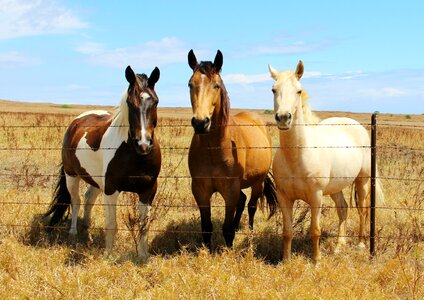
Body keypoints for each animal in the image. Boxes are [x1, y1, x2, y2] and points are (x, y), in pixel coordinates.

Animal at [44, 65, 161, 260]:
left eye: (155, 102)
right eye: (130, 103)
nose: (143, 144)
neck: (134, 155)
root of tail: (76, 122)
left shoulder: (148, 190)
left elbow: (144, 226)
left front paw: (143, 256)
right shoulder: (111, 189)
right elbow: (112, 225)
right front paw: (108, 255)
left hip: (96, 181)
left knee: (88, 199)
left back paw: (87, 234)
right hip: (72, 176)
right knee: (76, 201)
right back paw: (73, 234)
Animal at [187, 50, 276, 250]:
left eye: (216, 86)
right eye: (190, 84)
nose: (200, 122)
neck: (214, 149)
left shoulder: (230, 189)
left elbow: (226, 228)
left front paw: (228, 249)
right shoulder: (200, 190)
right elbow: (206, 227)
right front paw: (207, 250)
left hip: (258, 182)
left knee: (251, 206)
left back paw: (249, 233)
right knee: (242, 201)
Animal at [270, 61, 386, 262]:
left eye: (299, 91)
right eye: (273, 90)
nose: (283, 118)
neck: (297, 156)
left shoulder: (316, 196)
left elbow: (315, 230)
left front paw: (316, 261)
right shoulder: (284, 197)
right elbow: (287, 231)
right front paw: (286, 260)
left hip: (362, 181)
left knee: (362, 210)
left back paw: (361, 244)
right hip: (336, 187)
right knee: (343, 208)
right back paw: (339, 246)